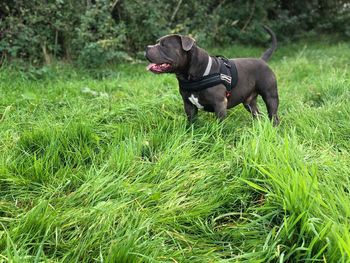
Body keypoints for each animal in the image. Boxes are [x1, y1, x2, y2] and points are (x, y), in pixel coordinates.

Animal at [145, 26, 278, 126]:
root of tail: (262, 60)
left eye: (163, 45)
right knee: (258, 114)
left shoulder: (220, 104)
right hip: (249, 102)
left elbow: (220, 126)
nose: (147, 47)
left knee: (274, 115)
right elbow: (192, 122)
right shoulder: (188, 105)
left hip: (271, 96)